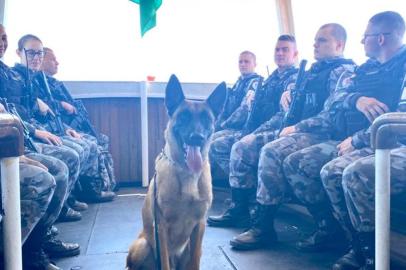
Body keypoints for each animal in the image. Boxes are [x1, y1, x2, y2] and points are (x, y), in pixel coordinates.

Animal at [127, 74, 227, 270]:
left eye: (206, 119)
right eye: (184, 117)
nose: (197, 137)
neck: (187, 173)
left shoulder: (199, 226)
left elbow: (195, 262)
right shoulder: (161, 228)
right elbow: (164, 263)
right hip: (143, 245)